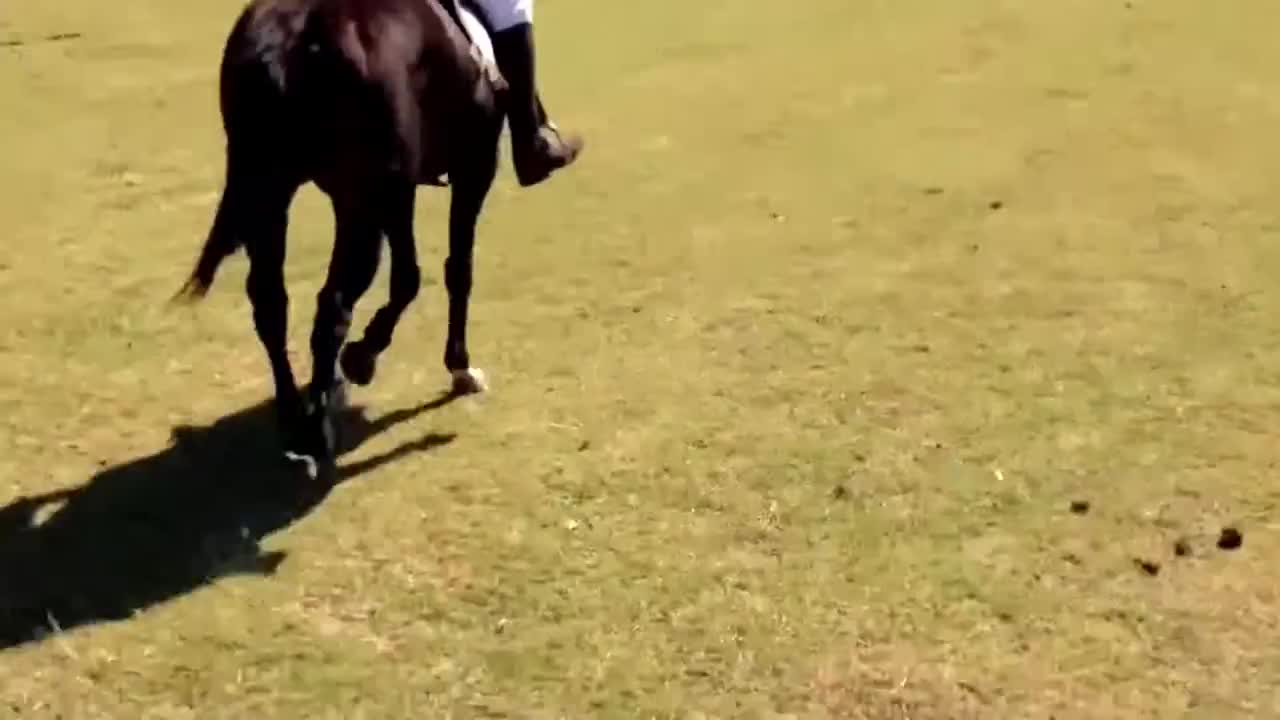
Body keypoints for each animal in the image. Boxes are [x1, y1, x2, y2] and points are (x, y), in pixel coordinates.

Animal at [174, 0, 509, 476]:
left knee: (270, 302)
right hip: (361, 198)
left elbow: (409, 275)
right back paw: (314, 432)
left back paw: (295, 419)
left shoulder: (397, 191)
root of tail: (290, 37)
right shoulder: (472, 167)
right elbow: (455, 269)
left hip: (272, 191)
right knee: (332, 306)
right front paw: (455, 366)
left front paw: (361, 359)